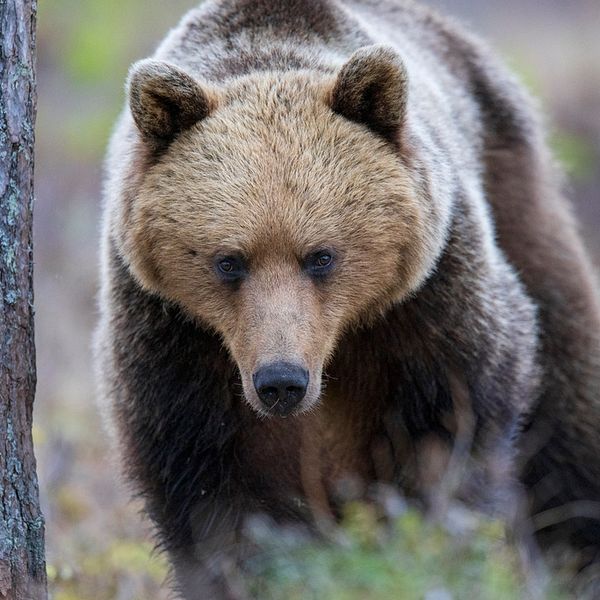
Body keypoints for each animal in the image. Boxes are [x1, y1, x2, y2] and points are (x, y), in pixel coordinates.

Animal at [94, 0, 600, 596]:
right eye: (229, 261)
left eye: (321, 256)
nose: (281, 381)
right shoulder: (175, 340)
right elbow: (210, 496)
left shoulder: (430, 305)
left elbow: (450, 435)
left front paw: (425, 550)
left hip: (517, 193)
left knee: (569, 405)